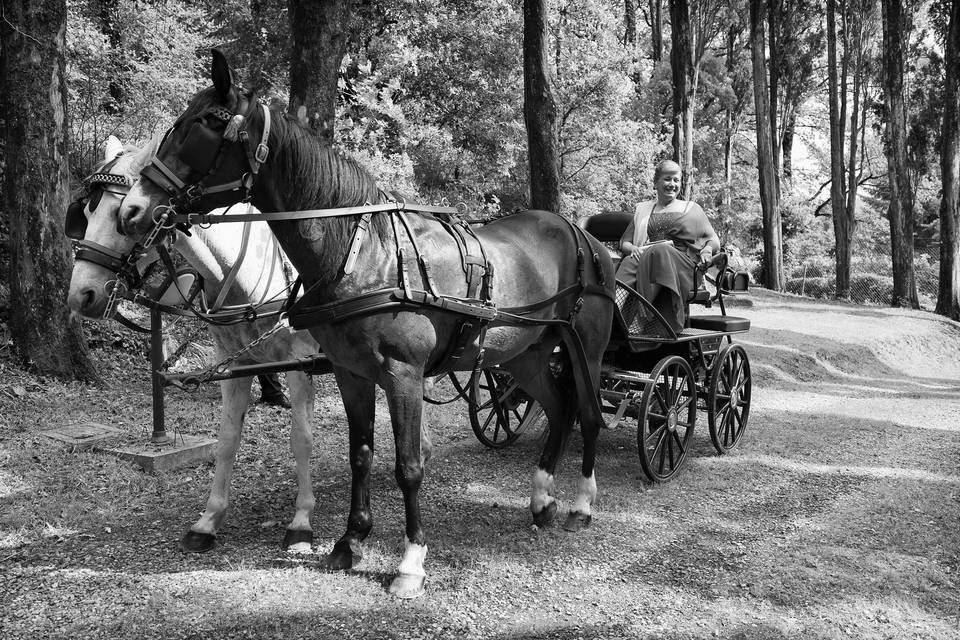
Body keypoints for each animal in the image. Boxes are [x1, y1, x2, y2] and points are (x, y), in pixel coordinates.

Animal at [120, 51, 616, 600]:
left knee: (588, 413)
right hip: (525, 353)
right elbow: (360, 454)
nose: (133, 208)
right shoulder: (350, 372)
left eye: (204, 123)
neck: (362, 254)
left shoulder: (403, 376)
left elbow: (408, 466)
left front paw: (410, 561)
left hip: (587, 350)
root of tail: (580, 233)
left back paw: (582, 505)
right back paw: (541, 499)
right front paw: (349, 542)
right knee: (560, 406)